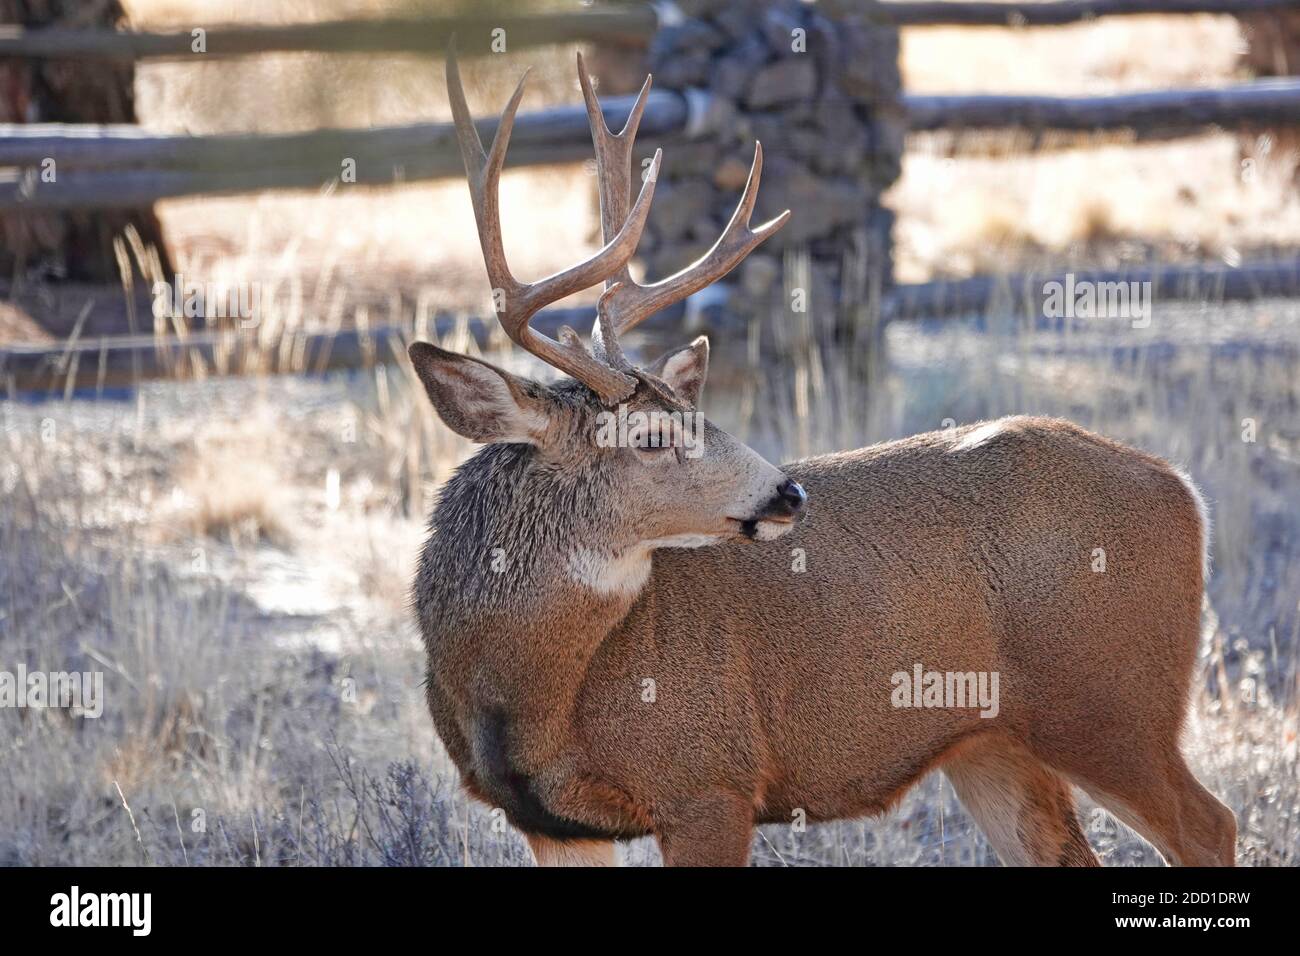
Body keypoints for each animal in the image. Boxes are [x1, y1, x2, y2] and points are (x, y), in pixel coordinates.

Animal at [407, 51, 1237, 867]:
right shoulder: (551, 823)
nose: (790, 494)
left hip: (1111, 703)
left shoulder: (710, 779)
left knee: (1210, 824)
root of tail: (1184, 489)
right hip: (996, 744)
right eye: (648, 437)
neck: (523, 694)